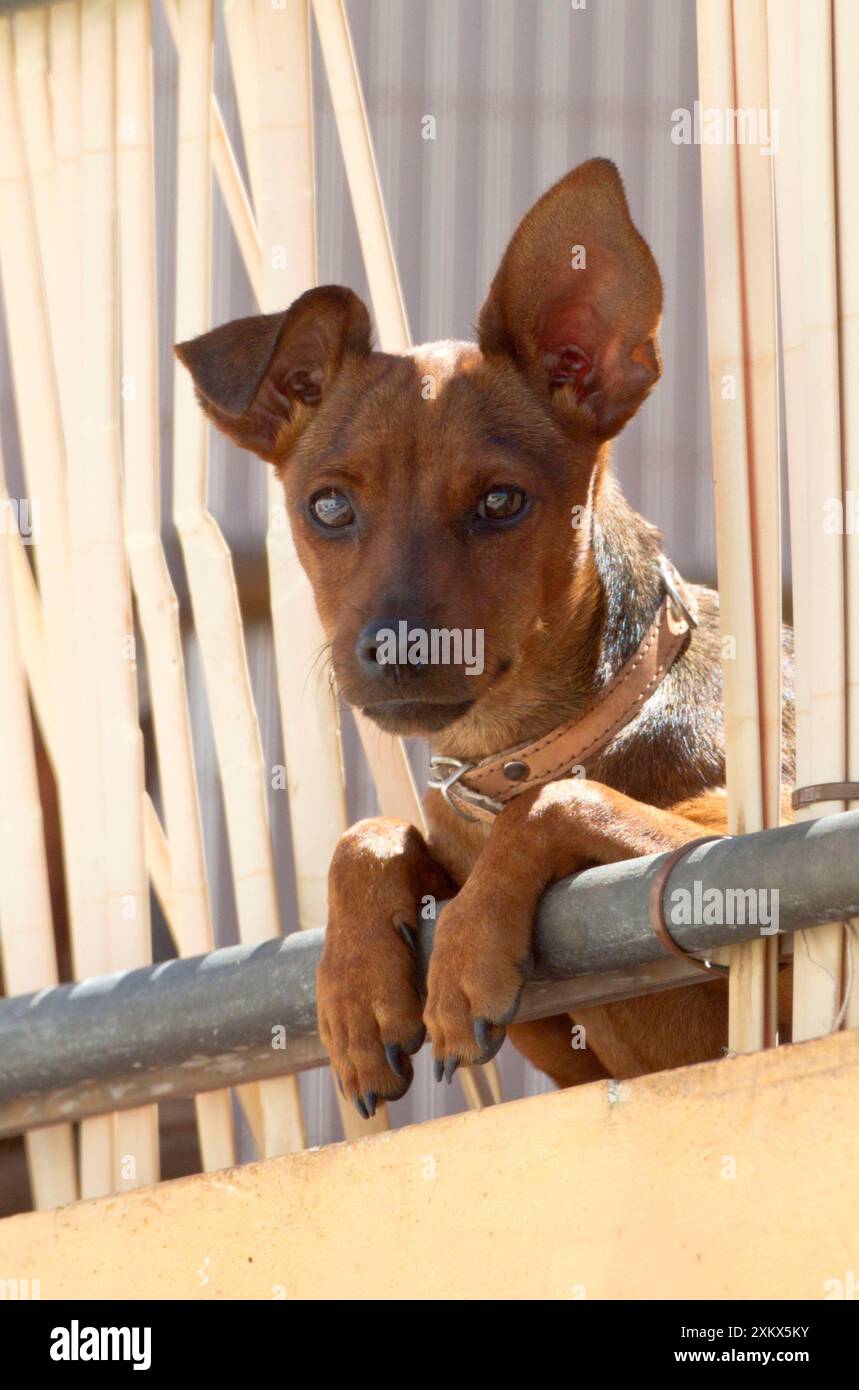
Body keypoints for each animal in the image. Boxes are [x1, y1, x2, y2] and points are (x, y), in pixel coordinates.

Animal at [175, 159, 795, 1117]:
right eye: (328, 506)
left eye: (502, 501)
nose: (399, 650)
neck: (523, 745)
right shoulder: (570, 1062)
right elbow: (370, 832)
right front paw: (355, 986)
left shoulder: (762, 850)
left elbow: (559, 803)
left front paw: (466, 948)